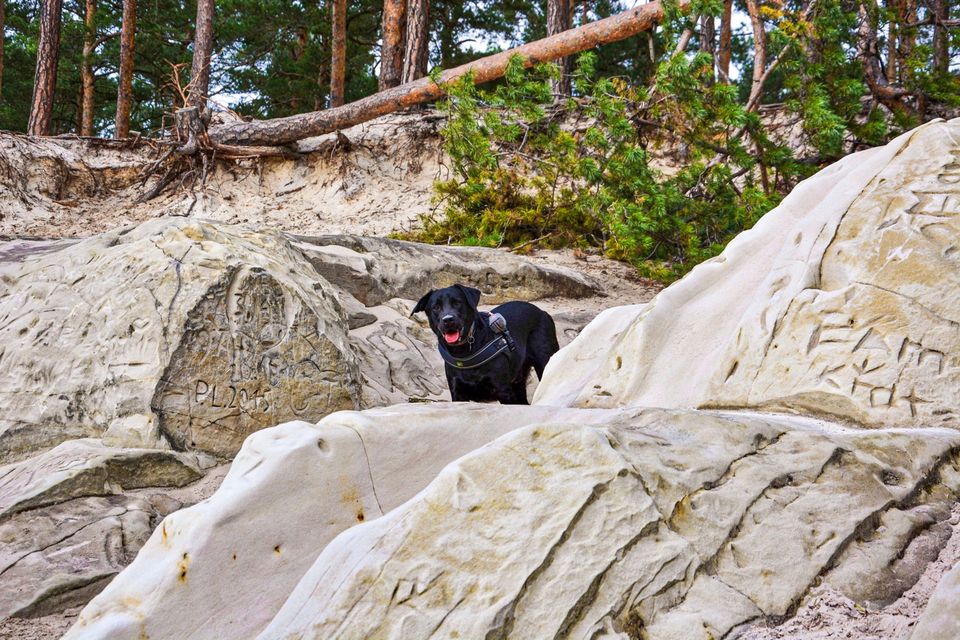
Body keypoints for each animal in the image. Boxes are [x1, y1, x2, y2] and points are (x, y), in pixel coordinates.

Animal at [412, 284, 564, 404]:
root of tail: (542, 312)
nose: (448, 320)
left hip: (545, 362)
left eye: (457, 303)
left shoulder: (504, 391)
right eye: (436, 307)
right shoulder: (457, 394)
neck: (465, 352)